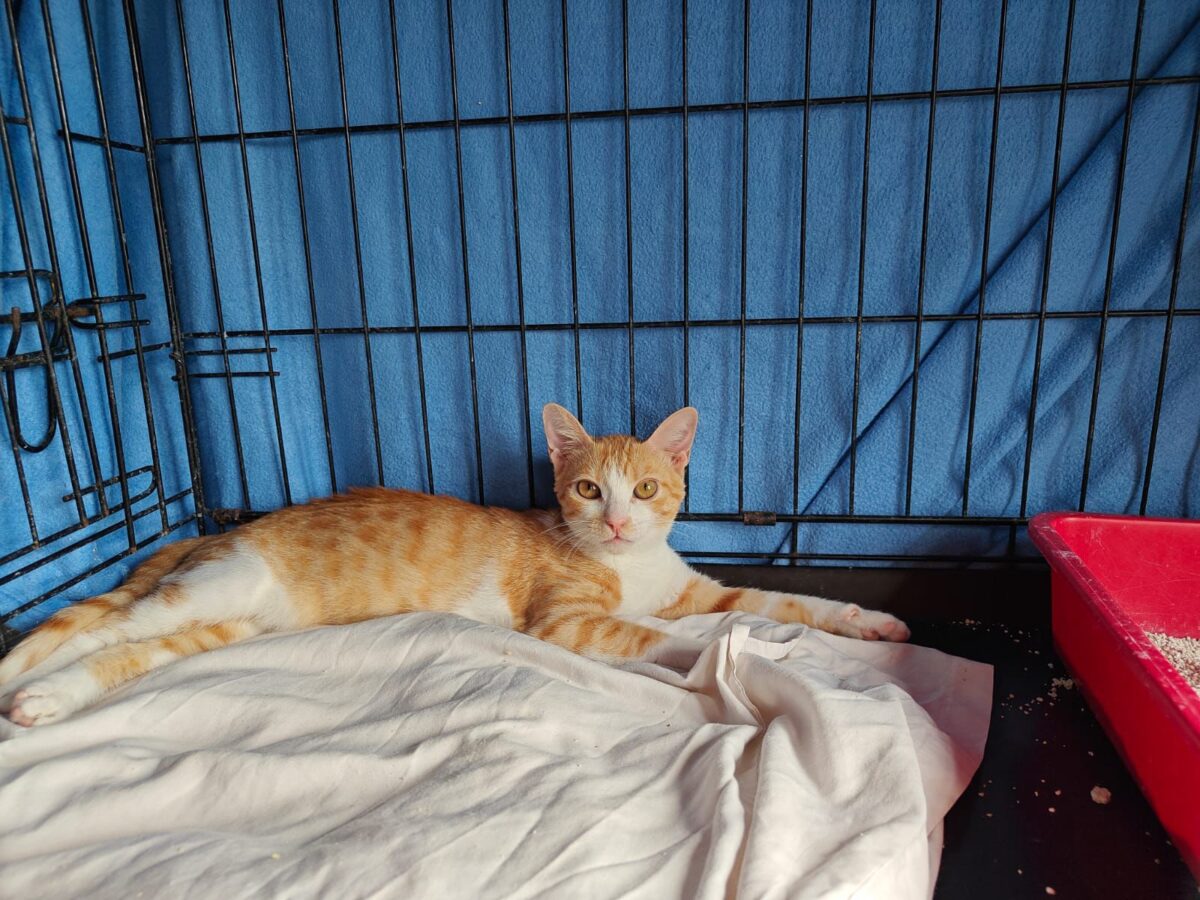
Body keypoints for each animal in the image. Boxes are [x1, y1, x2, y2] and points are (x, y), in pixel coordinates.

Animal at [0, 404, 908, 727]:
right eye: (587, 489)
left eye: (647, 488)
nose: (618, 522)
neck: (631, 569)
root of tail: (211, 532)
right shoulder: (564, 619)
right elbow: (657, 633)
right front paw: (711, 655)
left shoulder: (696, 589)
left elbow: (774, 599)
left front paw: (867, 621)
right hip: (212, 587)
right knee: (103, 626)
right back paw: (30, 684)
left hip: (229, 622)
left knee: (128, 649)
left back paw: (48, 700)